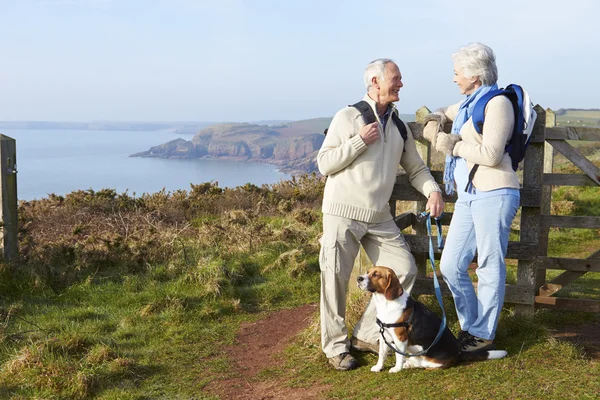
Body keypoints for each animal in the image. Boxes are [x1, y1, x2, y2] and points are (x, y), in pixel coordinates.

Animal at [356, 266, 506, 372]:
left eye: (376, 274)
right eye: (368, 272)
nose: (358, 278)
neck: (385, 303)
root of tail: (458, 353)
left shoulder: (400, 338)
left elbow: (399, 355)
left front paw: (396, 369)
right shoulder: (384, 336)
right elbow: (382, 355)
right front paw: (378, 367)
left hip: (431, 361)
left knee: (424, 364)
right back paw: (408, 364)